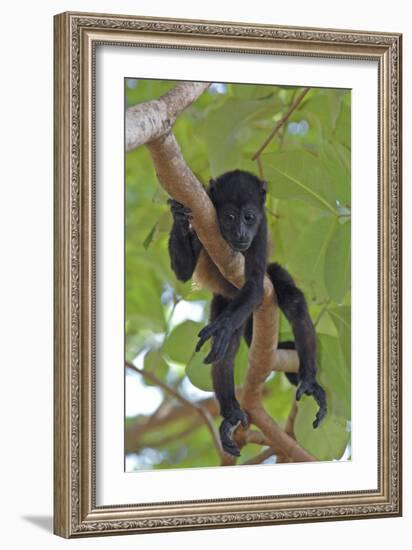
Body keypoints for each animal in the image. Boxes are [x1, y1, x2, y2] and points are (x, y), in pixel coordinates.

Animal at [167, 171, 326, 458]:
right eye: (229, 216)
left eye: (249, 217)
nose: (241, 232)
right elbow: (183, 273)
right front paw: (178, 215)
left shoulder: (261, 232)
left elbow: (254, 285)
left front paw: (221, 328)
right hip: (224, 301)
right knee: (227, 350)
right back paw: (230, 412)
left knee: (293, 301)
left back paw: (309, 380)